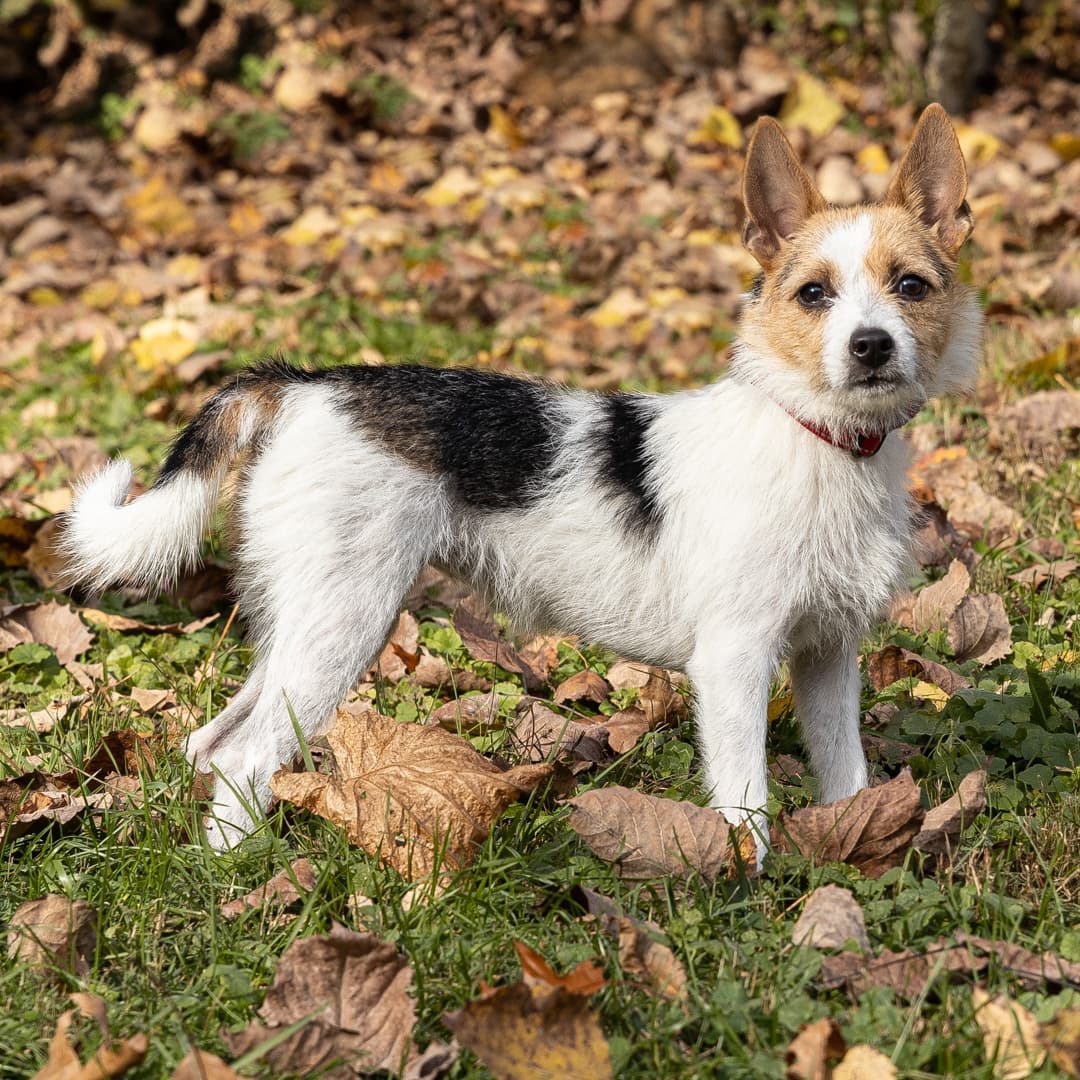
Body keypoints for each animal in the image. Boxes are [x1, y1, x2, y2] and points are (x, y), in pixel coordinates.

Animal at [63, 105, 984, 855]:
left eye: (911, 286)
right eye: (813, 294)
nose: (871, 345)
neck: (821, 441)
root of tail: (302, 385)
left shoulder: (828, 656)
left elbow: (846, 777)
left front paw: (857, 846)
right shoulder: (735, 662)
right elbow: (744, 801)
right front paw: (746, 889)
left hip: (301, 623)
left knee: (216, 742)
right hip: (343, 623)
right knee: (249, 755)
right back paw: (241, 878)